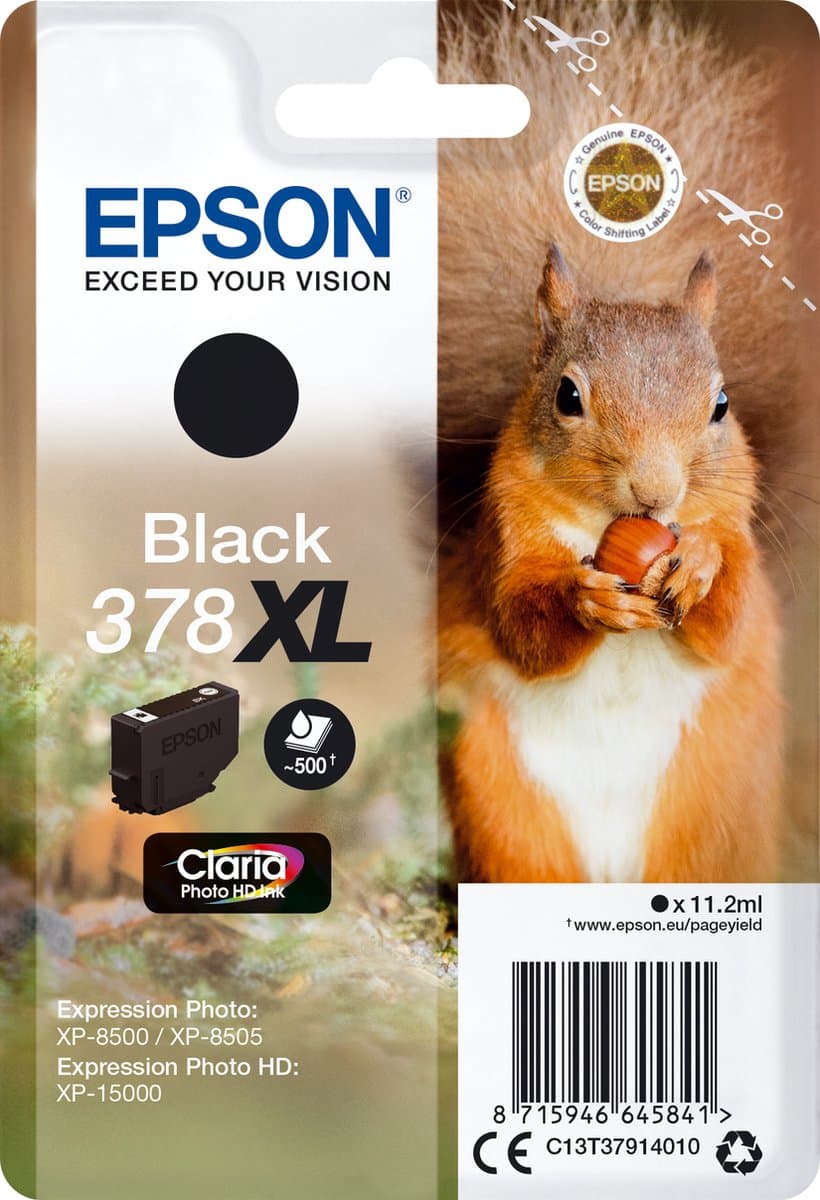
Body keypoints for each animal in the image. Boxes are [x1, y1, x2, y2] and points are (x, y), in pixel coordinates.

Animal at [436, 1, 815, 883]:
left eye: (721, 404)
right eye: (567, 396)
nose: (656, 493)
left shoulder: (739, 533)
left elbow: (729, 618)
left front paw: (700, 565)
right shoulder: (505, 539)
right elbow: (522, 624)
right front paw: (588, 598)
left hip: (714, 811)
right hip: (503, 807)